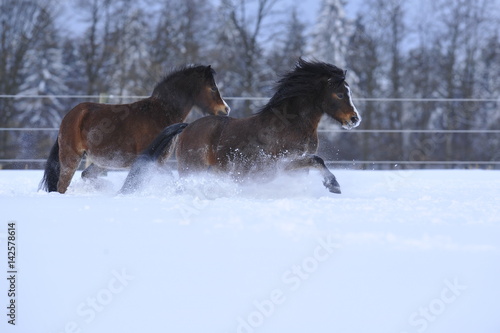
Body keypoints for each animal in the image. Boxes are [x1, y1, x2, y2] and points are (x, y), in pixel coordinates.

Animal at [122, 59, 364, 193]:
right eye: (340, 94)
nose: (354, 119)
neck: (290, 125)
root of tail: (188, 127)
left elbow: (314, 164)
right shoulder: (281, 164)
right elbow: (317, 160)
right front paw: (334, 185)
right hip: (192, 168)